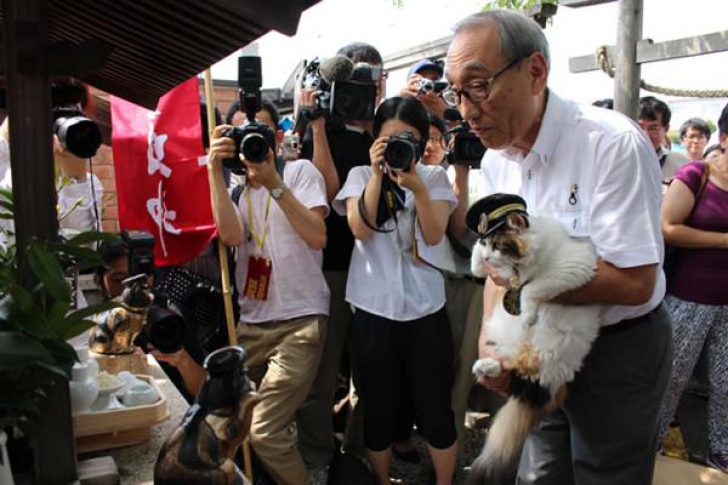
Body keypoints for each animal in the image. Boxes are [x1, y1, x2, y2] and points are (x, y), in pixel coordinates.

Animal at [470, 210, 600, 482]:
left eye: (498, 245)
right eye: (486, 242)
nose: (487, 256)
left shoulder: (573, 269)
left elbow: (531, 288)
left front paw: (528, 313)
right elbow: (476, 256)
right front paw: (477, 263)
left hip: (547, 356)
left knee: (527, 379)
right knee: (510, 367)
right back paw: (484, 366)